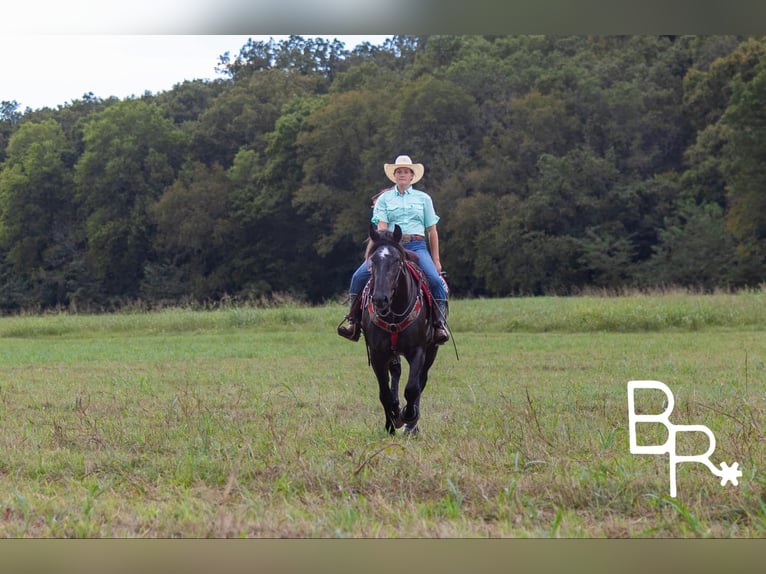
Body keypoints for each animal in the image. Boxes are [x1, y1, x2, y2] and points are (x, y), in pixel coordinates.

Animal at [360, 223, 440, 436]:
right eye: (373, 260)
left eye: (396, 260)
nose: (380, 299)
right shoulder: (378, 353)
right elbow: (385, 393)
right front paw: (392, 422)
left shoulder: (418, 350)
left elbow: (412, 388)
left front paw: (408, 416)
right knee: (395, 375)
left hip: (432, 350)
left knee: (421, 380)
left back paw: (412, 426)